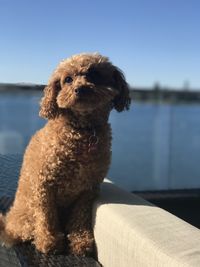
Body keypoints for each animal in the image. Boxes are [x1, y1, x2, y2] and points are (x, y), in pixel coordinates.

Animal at [0, 53, 131, 256]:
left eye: (95, 74)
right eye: (67, 79)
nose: (80, 88)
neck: (83, 130)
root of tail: (9, 221)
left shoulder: (88, 189)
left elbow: (81, 216)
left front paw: (81, 241)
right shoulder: (44, 184)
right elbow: (46, 216)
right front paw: (49, 241)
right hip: (25, 220)